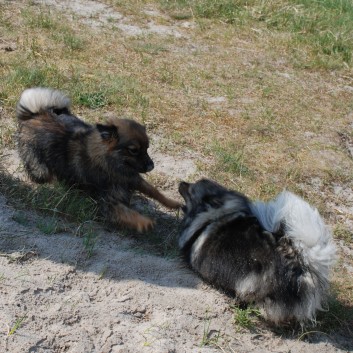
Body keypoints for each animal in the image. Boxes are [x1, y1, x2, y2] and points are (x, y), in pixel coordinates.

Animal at [16, 87, 180, 231]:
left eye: (147, 148)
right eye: (133, 150)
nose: (151, 166)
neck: (108, 162)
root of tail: (34, 114)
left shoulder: (133, 179)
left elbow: (154, 191)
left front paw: (173, 203)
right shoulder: (107, 200)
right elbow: (126, 213)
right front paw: (144, 222)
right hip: (39, 167)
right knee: (45, 175)